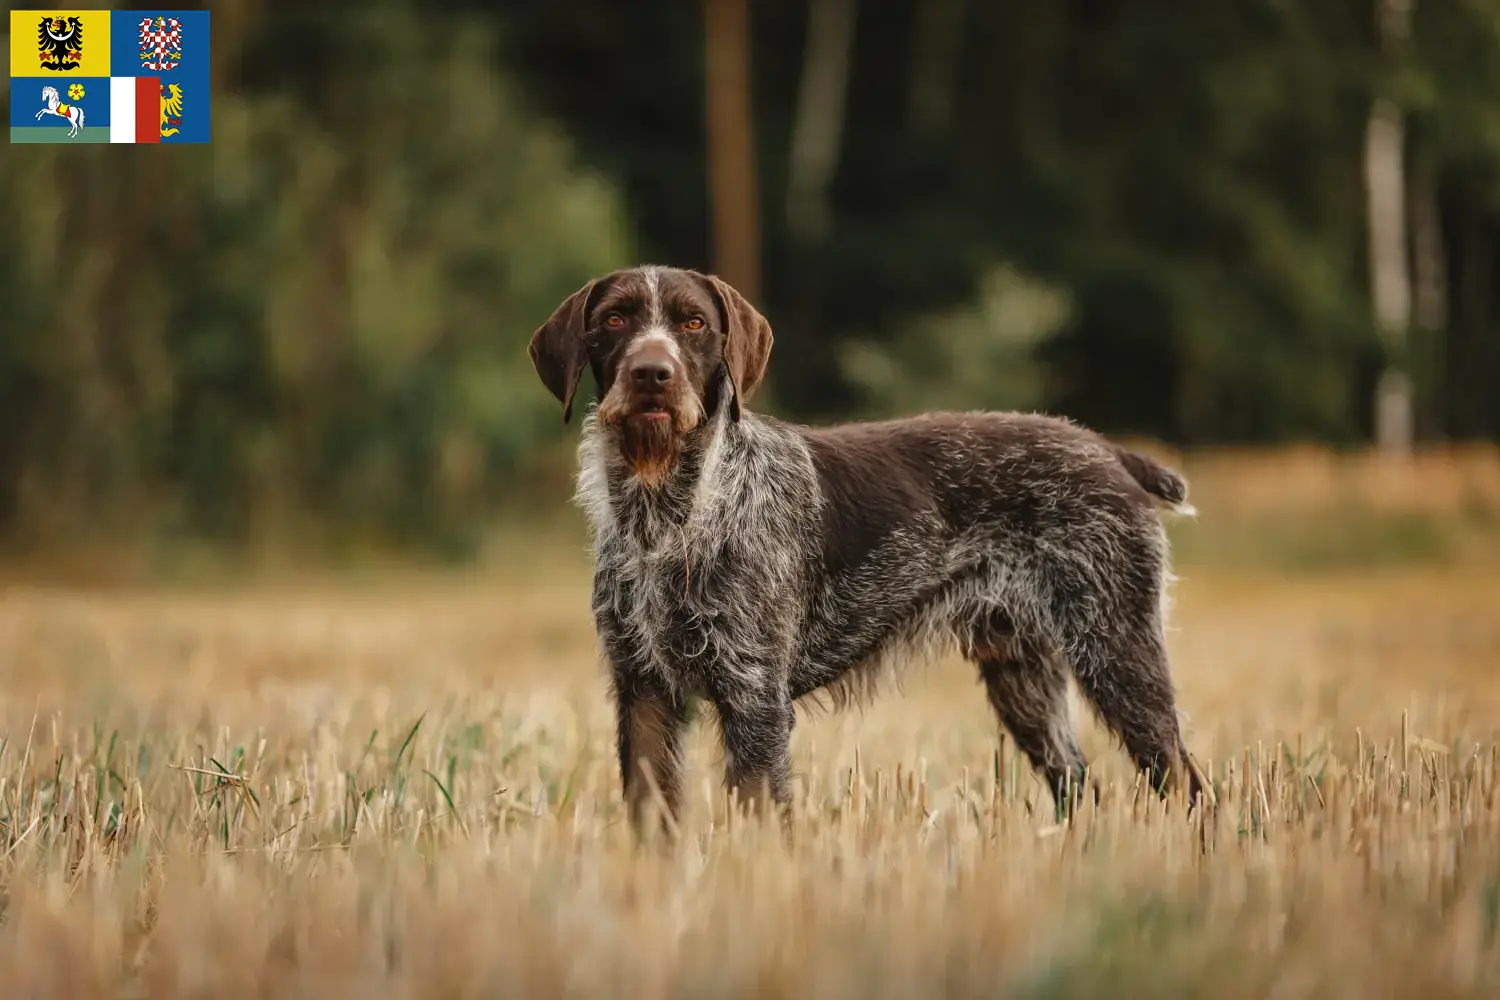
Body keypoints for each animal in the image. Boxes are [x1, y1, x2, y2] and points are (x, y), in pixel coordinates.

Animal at [528, 263, 1206, 827]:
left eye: (693, 322)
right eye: (614, 319)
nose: (652, 375)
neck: (670, 514)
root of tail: (1111, 452)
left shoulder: (755, 698)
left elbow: (760, 818)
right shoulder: (644, 694)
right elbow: (650, 820)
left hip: (1117, 650)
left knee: (1185, 781)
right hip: (1026, 677)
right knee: (1078, 784)